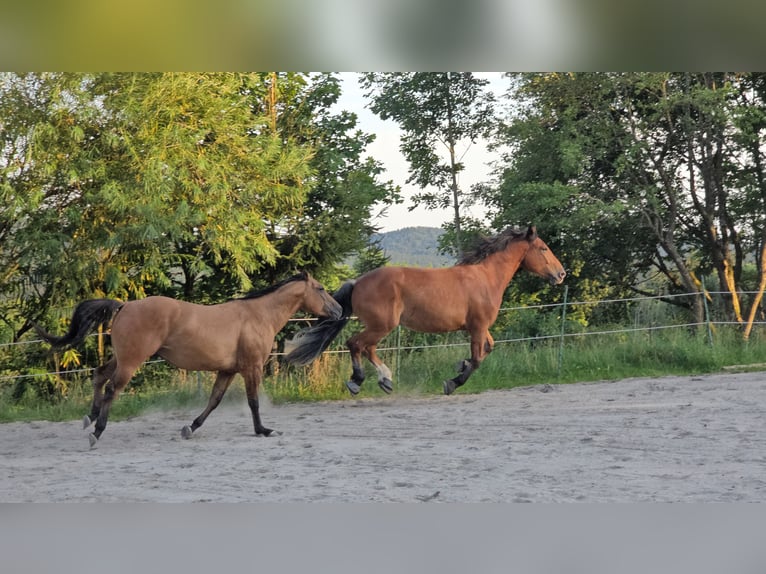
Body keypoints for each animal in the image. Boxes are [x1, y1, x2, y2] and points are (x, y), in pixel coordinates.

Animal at [36, 274, 342, 450]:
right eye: (320, 288)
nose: (339, 310)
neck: (257, 315)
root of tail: (125, 305)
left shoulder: (227, 370)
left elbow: (214, 401)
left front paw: (189, 428)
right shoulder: (251, 367)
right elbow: (253, 401)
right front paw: (264, 431)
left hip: (122, 357)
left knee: (99, 374)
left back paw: (89, 417)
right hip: (132, 361)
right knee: (112, 388)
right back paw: (97, 432)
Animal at [284, 227, 568, 398]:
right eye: (543, 248)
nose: (561, 274)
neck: (487, 278)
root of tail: (358, 281)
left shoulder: (481, 329)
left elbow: (487, 350)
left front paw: (460, 365)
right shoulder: (477, 327)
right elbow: (478, 359)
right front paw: (452, 383)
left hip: (379, 326)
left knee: (366, 347)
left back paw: (385, 380)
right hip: (382, 325)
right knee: (355, 344)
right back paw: (357, 381)